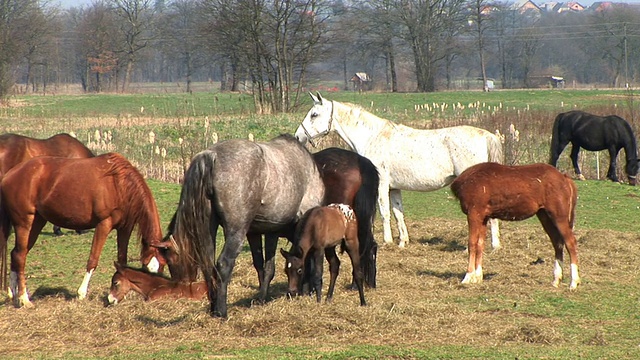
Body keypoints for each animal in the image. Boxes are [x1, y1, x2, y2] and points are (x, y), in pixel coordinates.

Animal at [296, 93, 504, 249]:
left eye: (314, 114)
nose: (298, 136)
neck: (373, 137)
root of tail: (487, 135)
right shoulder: (394, 188)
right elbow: (398, 213)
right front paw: (403, 241)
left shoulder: (381, 185)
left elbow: (384, 212)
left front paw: (387, 241)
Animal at [450, 162, 580, 290]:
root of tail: (564, 177)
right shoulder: (483, 218)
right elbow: (480, 244)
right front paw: (477, 276)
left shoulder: (474, 214)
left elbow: (472, 244)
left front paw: (468, 276)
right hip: (545, 216)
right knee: (557, 243)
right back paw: (556, 280)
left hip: (559, 217)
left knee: (570, 242)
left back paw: (573, 282)